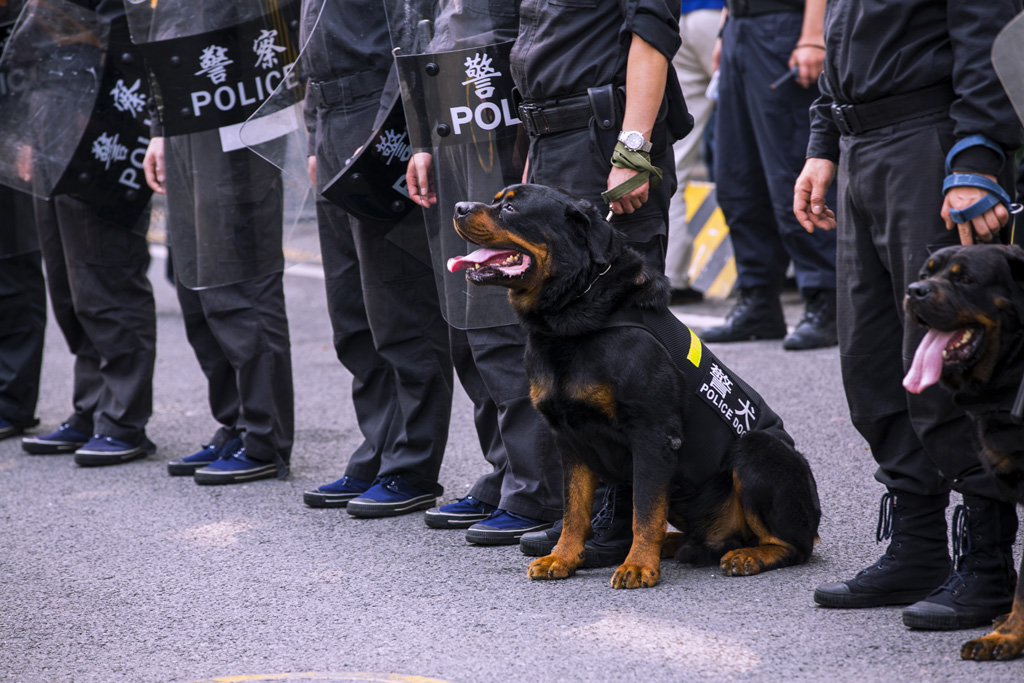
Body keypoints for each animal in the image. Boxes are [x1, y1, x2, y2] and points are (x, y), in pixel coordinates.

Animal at [448, 184, 823, 589]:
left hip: (758, 449)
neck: (577, 304)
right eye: (496, 200)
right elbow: (575, 508)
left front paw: (639, 565)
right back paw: (680, 543)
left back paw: (748, 555)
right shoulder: (569, 437)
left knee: (793, 544)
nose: (458, 207)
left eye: (512, 209)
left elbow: (644, 508)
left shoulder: (651, 433)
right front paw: (563, 557)